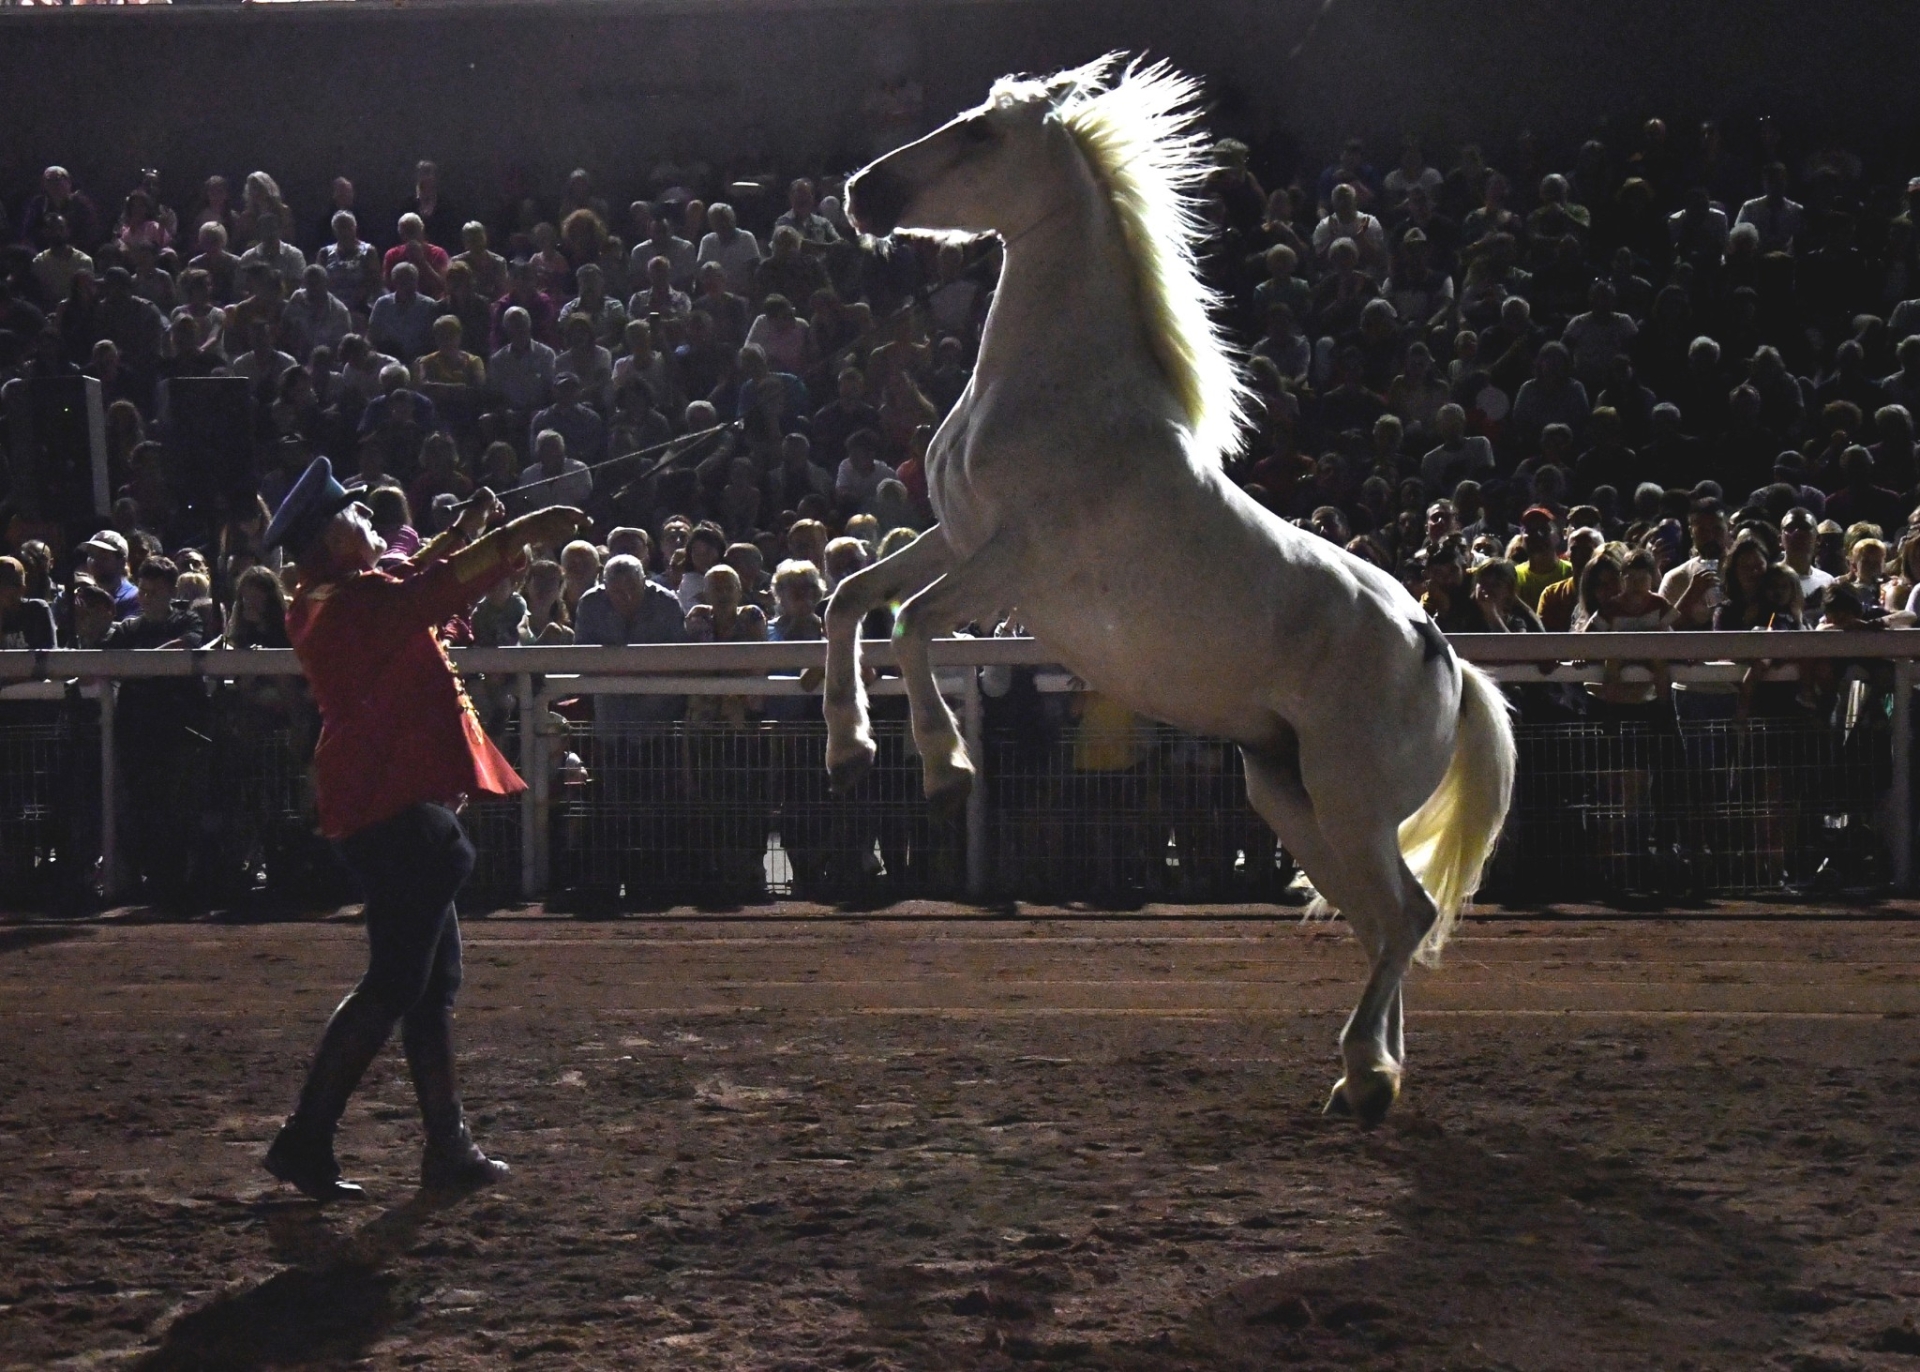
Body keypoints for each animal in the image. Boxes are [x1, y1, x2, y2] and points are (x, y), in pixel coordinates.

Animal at [825, 56, 1512, 1128]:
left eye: (979, 133)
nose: (864, 192)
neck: (1060, 392)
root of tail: (1441, 652)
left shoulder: (1014, 563)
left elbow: (914, 623)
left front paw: (945, 766)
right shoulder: (959, 536)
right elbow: (852, 598)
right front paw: (850, 750)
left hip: (1350, 799)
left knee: (1406, 914)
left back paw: (1363, 1072)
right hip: (1291, 794)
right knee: (1382, 921)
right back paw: (1373, 1077)